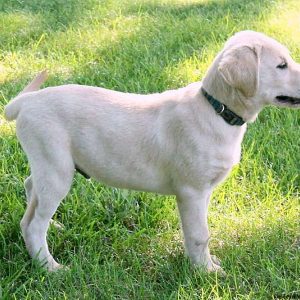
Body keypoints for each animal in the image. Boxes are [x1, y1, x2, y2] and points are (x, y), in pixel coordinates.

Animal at [4, 30, 300, 272]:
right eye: (281, 65)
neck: (216, 109)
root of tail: (27, 100)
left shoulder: (203, 191)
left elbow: (199, 233)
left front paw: (202, 263)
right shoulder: (191, 191)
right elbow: (199, 235)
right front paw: (207, 272)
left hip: (47, 166)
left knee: (31, 193)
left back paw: (54, 226)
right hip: (56, 168)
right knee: (32, 224)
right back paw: (49, 267)